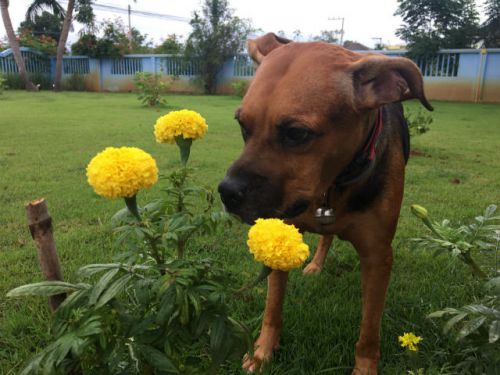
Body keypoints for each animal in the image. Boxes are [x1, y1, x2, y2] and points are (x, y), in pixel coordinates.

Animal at [219, 33, 434, 374]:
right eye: (242, 125)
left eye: (296, 133)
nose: (226, 192)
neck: (331, 186)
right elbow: (272, 307)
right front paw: (263, 351)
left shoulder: (377, 256)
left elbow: (369, 331)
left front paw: (365, 368)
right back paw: (317, 264)